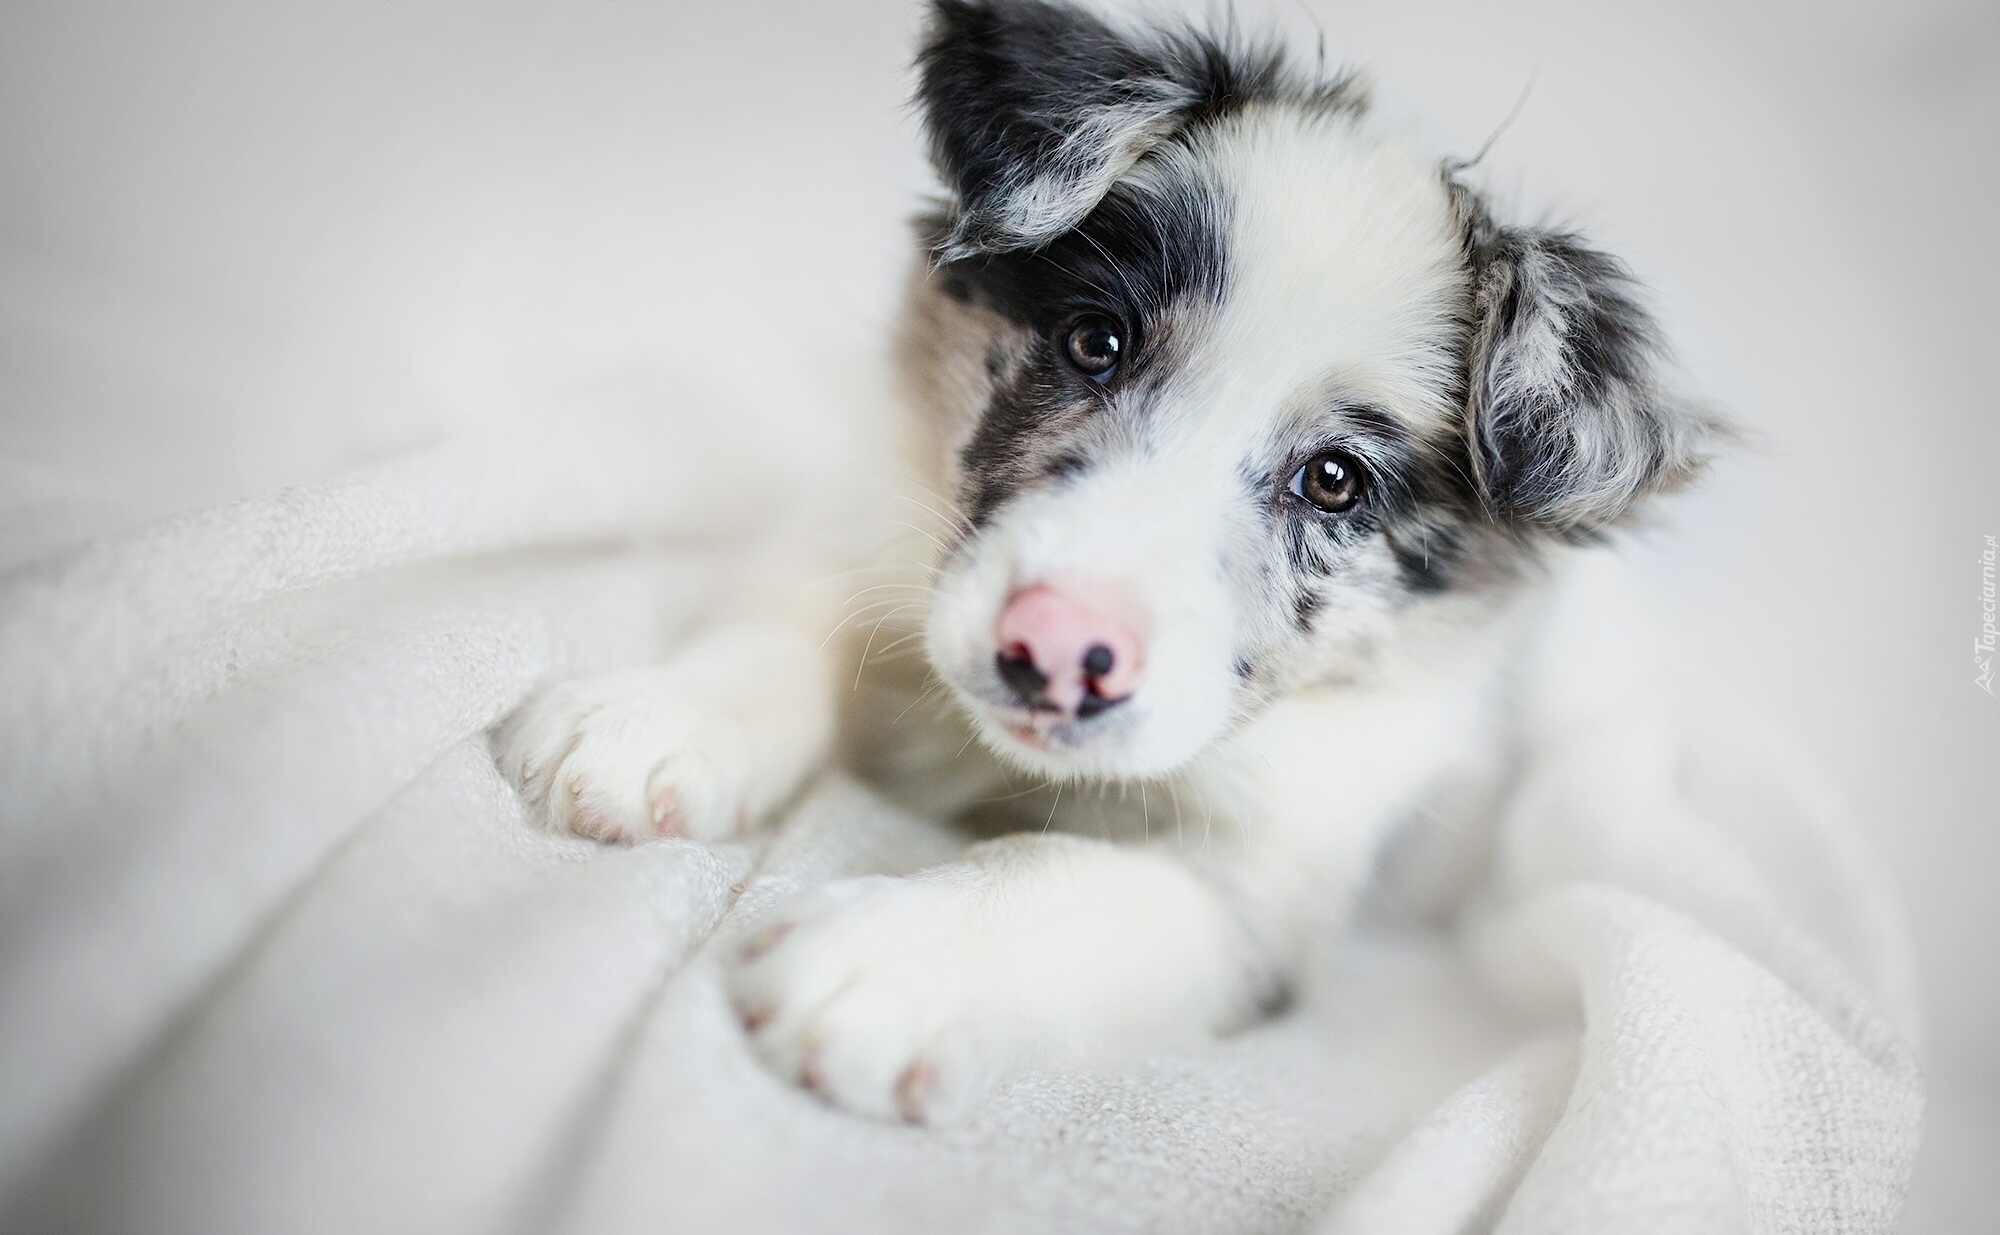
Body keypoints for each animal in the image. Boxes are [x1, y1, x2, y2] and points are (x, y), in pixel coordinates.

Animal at [492, 0, 1728, 1119]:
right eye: (1097, 341)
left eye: (1335, 479)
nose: (1053, 650)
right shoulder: (882, 529)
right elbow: (786, 621)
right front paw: (657, 714)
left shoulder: (1268, 889)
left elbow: (1075, 876)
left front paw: (889, 961)